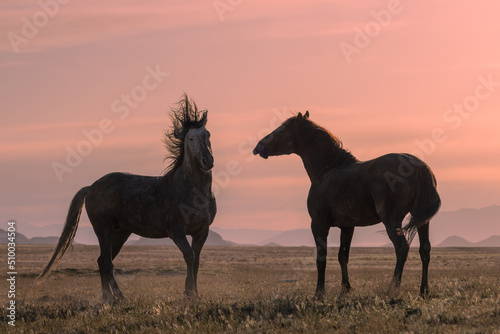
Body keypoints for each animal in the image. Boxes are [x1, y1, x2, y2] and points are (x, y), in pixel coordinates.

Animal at [35, 94, 215, 302]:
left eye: (208, 134)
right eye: (191, 138)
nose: (208, 161)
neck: (191, 189)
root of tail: (91, 188)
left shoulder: (201, 231)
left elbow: (196, 260)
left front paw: (195, 294)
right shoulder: (176, 231)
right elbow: (189, 256)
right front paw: (188, 292)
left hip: (120, 232)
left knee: (103, 260)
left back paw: (110, 297)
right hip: (103, 229)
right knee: (106, 261)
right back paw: (114, 297)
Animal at [254, 111, 442, 298]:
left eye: (281, 130)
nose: (258, 147)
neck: (328, 169)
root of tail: (420, 166)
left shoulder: (319, 225)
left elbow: (321, 258)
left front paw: (319, 293)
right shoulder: (347, 226)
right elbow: (342, 256)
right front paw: (345, 288)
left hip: (392, 221)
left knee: (402, 248)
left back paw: (392, 289)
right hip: (422, 221)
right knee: (425, 250)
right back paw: (424, 290)